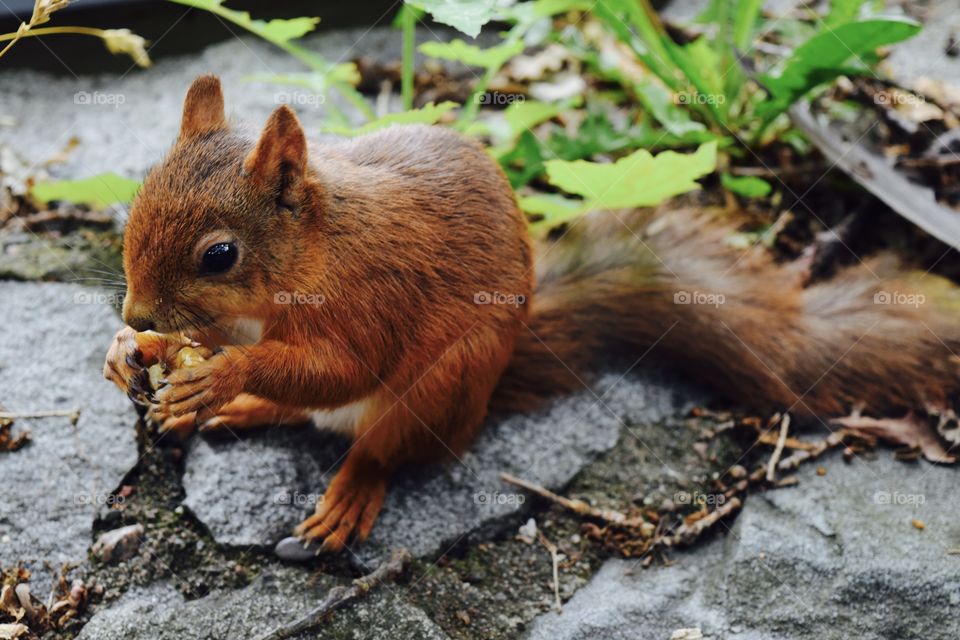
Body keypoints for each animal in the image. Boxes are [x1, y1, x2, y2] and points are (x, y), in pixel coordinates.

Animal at [104, 74, 960, 553]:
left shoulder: (374, 298)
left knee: (379, 447)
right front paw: (131, 348)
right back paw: (245, 409)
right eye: (135, 205)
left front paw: (223, 374)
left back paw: (345, 488)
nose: (137, 305)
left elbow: (339, 366)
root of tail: (486, 395)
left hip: (443, 386)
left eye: (220, 254)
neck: (312, 254)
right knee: (304, 415)